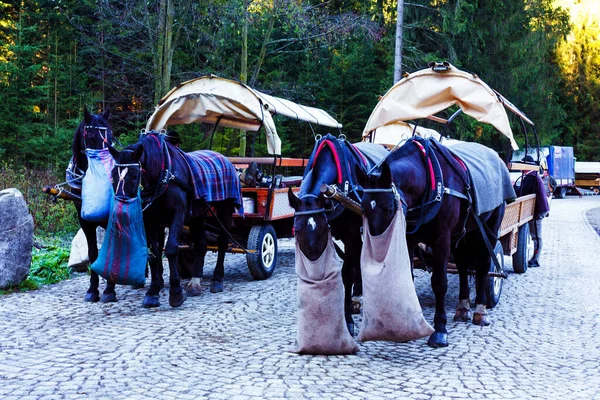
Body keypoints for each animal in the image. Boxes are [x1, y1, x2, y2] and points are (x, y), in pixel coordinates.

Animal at [68, 108, 118, 302]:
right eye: (90, 136)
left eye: (110, 135)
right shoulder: (84, 221)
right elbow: (92, 253)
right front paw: (92, 290)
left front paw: (110, 290)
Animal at [108, 131, 241, 310]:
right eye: (113, 175)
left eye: (135, 175)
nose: (121, 209)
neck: (163, 174)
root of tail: (224, 158)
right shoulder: (149, 221)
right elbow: (154, 254)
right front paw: (152, 293)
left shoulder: (177, 214)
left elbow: (171, 249)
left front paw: (176, 292)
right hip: (197, 216)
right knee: (201, 243)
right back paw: (195, 281)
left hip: (224, 210)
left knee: (222, 243)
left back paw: (217, 280)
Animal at [356, 137, 510, 346]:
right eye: (363, 208)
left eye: (389, 208)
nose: (377, 252)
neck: (430, 181)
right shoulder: (409, 238)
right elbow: (409, 277)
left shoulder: (442, 238)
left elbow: (439, 282)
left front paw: (439, 330)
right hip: (461, 235)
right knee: (462, 265)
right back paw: (463, 307)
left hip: (488, 228)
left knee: (484, 265)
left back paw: (480, 310)